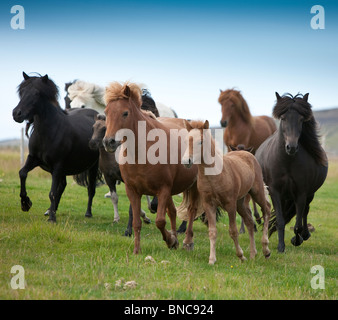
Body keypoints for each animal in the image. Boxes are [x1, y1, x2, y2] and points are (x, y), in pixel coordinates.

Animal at [12, 72, 101, 222]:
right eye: (22, 92)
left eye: (36, 93)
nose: (16, 113)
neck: (48, 132)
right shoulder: (34, 158)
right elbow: (22, 173)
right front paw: (25, 203)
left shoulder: (57, 165)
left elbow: (52, 192)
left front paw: (52, 218)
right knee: (63, 186)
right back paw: (50, 210)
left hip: (93, 166)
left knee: (91, 189)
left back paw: (87, 213)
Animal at [103, 81, 202, 254]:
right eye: (106, 112)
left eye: (125, 113)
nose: (109, 142)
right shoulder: (133, 191)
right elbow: (136, 222)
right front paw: (137, 250)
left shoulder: (163, 189)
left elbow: (160, 221)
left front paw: (170, 240)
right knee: (173, 211)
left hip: (193, 186)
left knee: (191, 212)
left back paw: (187, 242)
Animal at [181, 119, 270, 264]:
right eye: (185, 140)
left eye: (200, 141)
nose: (186, 161)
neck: (214, 175)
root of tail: (248, 154)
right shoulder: (209, 205)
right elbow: (212, 231)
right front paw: (212, 259)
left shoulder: (230, 204)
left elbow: (233, 231)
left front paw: (240, 255)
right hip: (240, 202)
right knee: (249, 221)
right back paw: (253, 254)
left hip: (256, 193)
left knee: (266, 209)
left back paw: (266, 249)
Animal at [256, 92, 328, 252]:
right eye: (283, 118)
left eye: (301, 119)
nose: (292, 147)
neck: (287, 162)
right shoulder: (275, 191)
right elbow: (281, 220)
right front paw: (280, 246)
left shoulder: (301, 192)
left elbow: (297, 224)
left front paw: (297, 239)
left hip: (309, 194)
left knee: (305, 211)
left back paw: (304, 235)